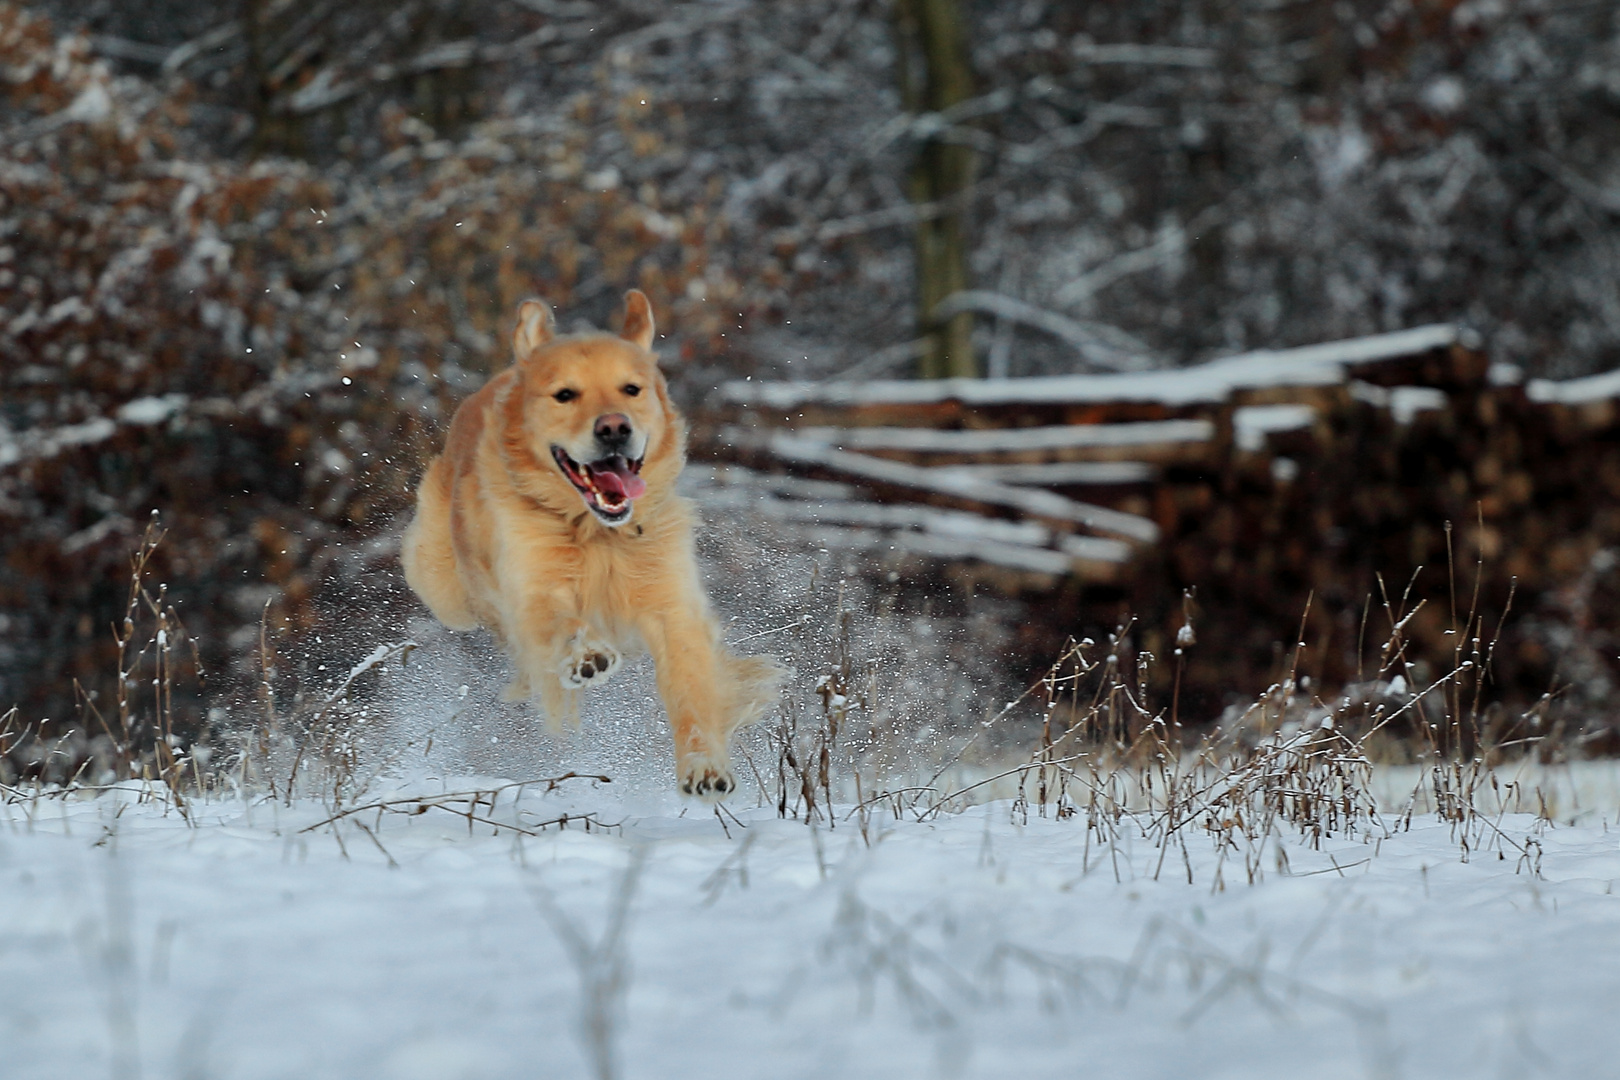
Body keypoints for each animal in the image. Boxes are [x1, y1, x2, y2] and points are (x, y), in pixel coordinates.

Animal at [405, 291, 784, 799]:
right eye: (565, 394)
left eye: (631, 389)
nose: (614, 428)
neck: (599, 533)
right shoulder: (532, 587)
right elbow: (562, 623)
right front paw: (585, 655)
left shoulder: (671, 607)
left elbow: (692, 691)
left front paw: (703, 766)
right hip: (443, 589)